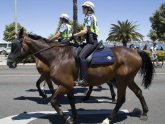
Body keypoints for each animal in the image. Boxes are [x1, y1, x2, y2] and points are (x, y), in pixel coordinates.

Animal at [7, 28, 155, 123]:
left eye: (15, 46)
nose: (9, 63)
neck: (58, 56)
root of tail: (136, 51)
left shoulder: (63, 83)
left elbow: (54, 101)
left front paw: (66, 118)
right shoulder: (67, 85)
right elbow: (71, 100)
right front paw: (73, 116)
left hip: (122, 81)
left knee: (121, 99)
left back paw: (108, 118)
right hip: (127, 79)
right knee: (138, 92)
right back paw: (145, 113)